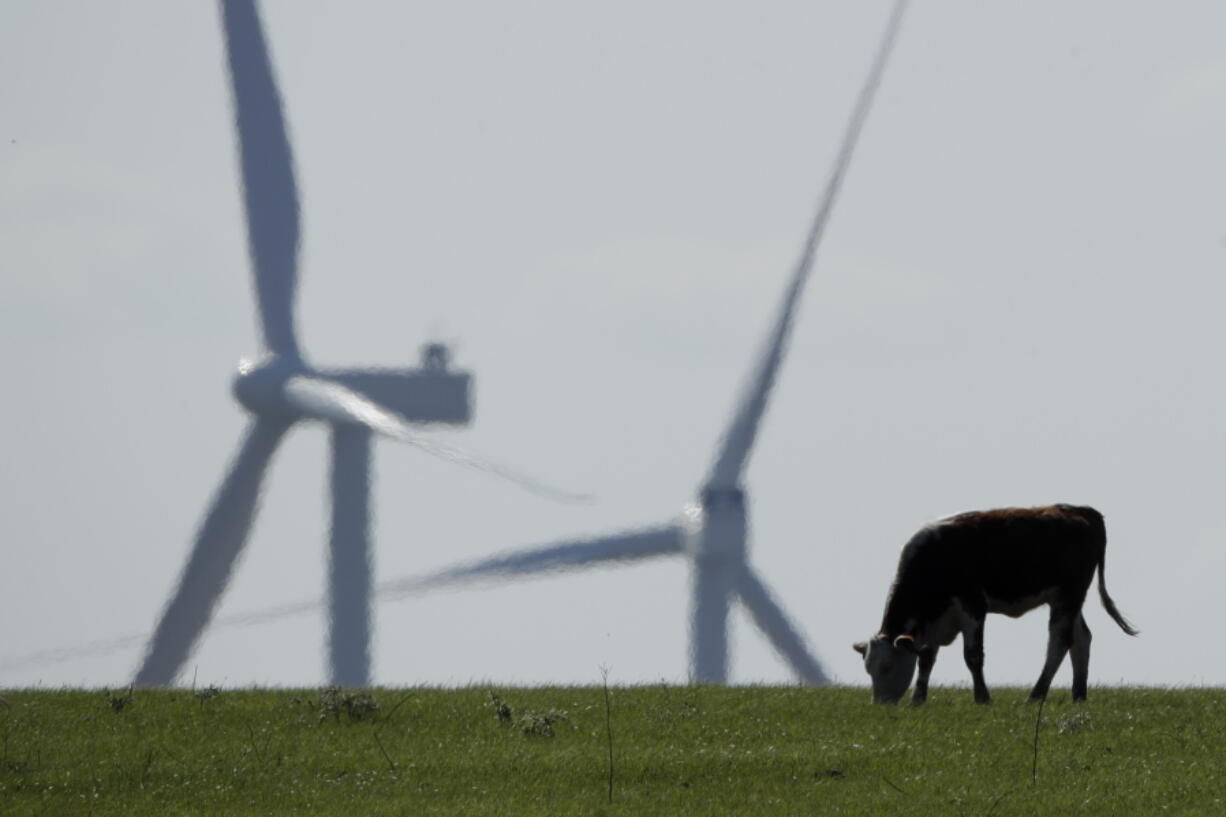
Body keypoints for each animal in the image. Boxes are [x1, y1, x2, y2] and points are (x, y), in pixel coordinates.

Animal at [853, 502, 1137, 701]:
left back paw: (1035, 696)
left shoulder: (973, 605)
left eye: (887, 666)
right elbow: (926, 658)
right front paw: (918, 700)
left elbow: (973, 655)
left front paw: (982, 698)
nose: (880, 704)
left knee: (1058, 641)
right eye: (868, 669)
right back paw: (1078, 696)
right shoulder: (935, 620)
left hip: (1068, 596)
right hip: (1069, 600)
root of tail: (1080, 510)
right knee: (1081, 639)